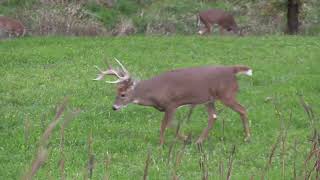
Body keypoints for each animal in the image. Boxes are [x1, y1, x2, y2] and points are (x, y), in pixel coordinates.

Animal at [94, 58, 251, 145]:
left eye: (123, 94)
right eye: (116, 92)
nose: (114, 107)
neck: (153, 93)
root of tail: (232, 69)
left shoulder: (171, 103)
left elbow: (165, 125)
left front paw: (161, 144)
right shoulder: (169, 107)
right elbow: (172, 124)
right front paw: (187, 138)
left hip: (226, 95)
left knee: (243, 109)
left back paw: (247, 138)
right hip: (209, 99)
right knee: (213, 116)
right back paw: (199, 141)